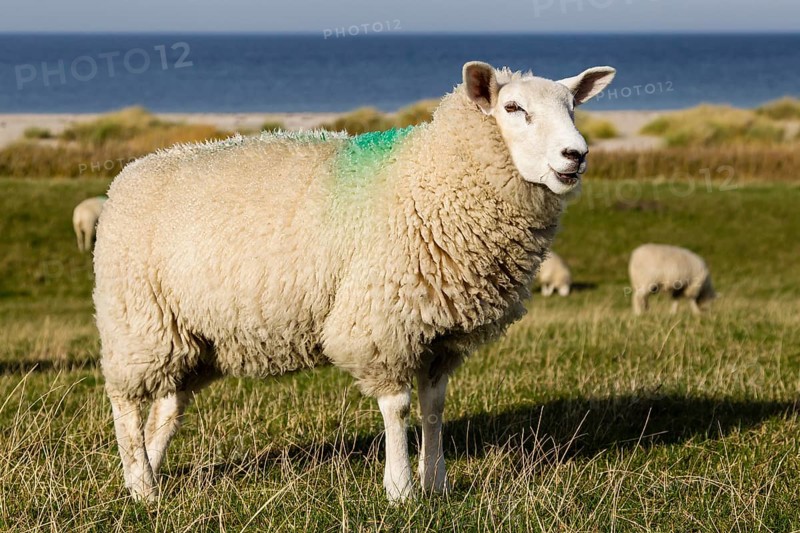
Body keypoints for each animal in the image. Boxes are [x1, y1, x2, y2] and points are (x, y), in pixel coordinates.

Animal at [94, 60, 616, 502]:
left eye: (573, 107)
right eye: (513, 109)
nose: (576, 155)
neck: (430, 178)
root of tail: (127, 176)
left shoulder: (440, 334)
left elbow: (434, 406)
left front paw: (437, 482)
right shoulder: (382, 322)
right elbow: (398, 407)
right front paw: (400, 489)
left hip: (194, 335)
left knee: (165, 407)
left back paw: (144, 472)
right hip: (136, 320)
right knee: (125, 403)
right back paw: (143, 489)